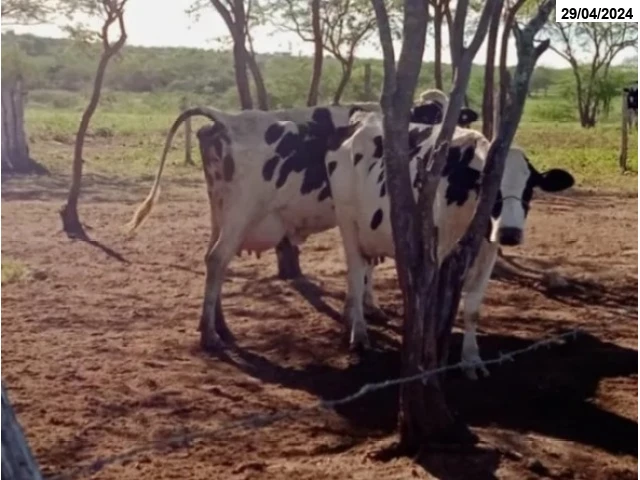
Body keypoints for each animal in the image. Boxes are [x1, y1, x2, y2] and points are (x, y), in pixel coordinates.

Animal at [126, 101, 480, 352]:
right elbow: (365, 265)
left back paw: (219, 325)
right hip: (240, 213)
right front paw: (366, 311)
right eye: (434, 116)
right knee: (216, 260)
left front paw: (366, 308)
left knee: (214, 260)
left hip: (220, 213)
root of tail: (227, 119)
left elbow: (367, 264)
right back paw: (211, 334)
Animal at [322, 108, 575, 379]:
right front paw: (428, 357)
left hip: (371, 231)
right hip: (348, 222)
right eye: (491, 187)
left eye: (530, 187)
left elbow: (472, 309)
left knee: (365, 269)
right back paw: (358, 333)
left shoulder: (488, 252)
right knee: (356, 273)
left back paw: (357, 313)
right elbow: (433, 305)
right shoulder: (437, 250)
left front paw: (471, 359)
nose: (510, 233)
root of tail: (362, 119)